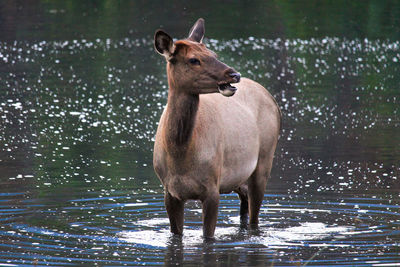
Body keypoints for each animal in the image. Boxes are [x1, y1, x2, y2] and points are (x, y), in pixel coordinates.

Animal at [153, 19, 282, 241]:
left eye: (214, 54)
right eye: (193, 60)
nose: (234, 74)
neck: (180, 153)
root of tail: (271, 98)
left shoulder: (212, 188)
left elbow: (208, 236)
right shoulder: (169, 193)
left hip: (264, 160)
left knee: (255, 217)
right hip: (239, 178)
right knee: (245, 206)